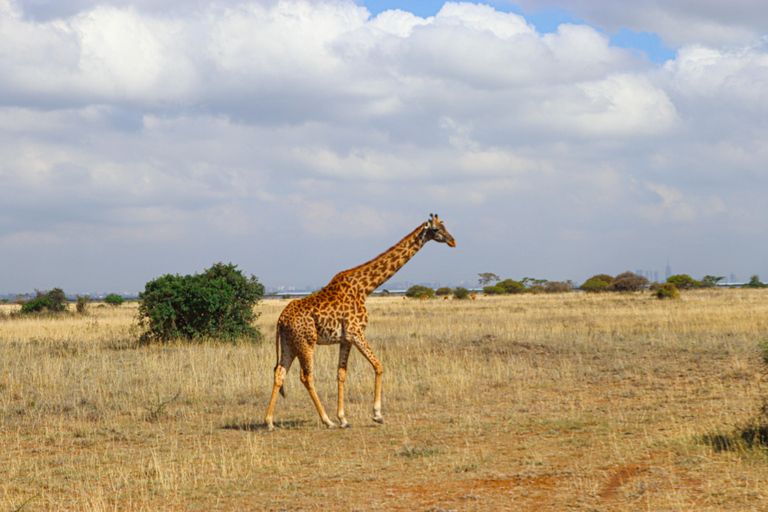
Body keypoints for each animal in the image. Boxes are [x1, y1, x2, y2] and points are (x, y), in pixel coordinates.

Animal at [266, 214, 456, 430]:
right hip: (306, 342)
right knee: (306, 376)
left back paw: (270, 422)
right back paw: (327, 421)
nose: (452, 241)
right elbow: (379, 365)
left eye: (444, 226)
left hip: (289, 343)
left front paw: (343, 419)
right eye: (436, 229)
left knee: (280, 373)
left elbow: (341, 373)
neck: (365, 288)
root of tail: (281, 319)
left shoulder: (345, 339)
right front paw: (377, 415)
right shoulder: (355, 332)